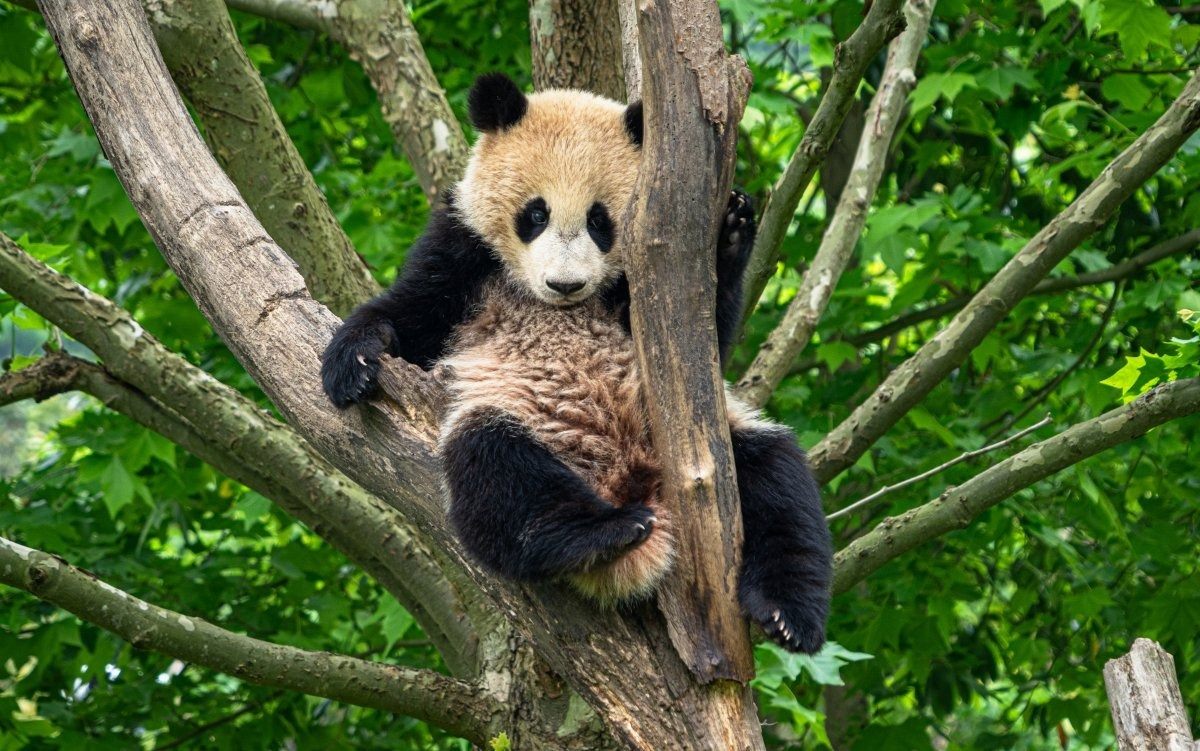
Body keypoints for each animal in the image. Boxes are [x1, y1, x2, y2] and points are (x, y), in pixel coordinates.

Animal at [321, 73, 832, 653]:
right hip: (514, 418)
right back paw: (601, 532)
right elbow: (412, 312)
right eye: (535, 214)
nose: (565, 284)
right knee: (497, 475)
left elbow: (709, 343)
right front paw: (353, 361)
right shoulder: (464, 250)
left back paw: (787, 613)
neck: (559, 307)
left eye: (599, 220)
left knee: (780, 484)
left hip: (725, 439)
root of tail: (635, 484)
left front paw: (732, 227)